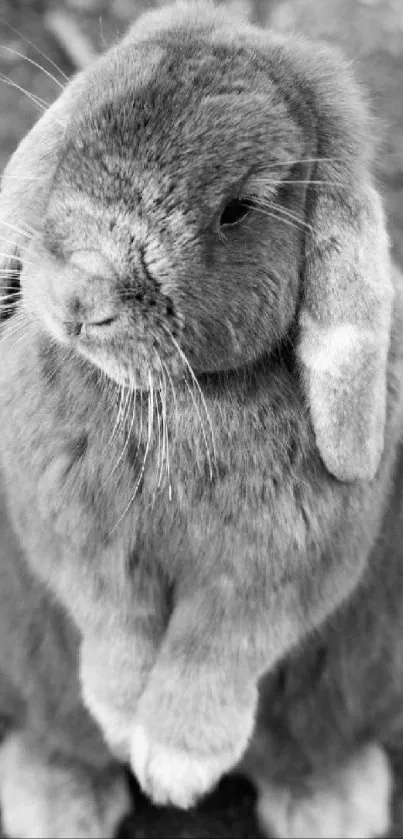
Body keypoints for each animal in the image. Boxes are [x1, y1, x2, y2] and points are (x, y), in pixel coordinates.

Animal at [0, 0, 403, 836]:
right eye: (73, 138)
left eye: (236, 211)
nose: (80, 297)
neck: (179, 397)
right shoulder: (76, 543)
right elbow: (113, 624)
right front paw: (125, 723)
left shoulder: (274, 575)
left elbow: (216, 648)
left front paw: (177, 766)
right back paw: (56, 801)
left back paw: (332, 804)